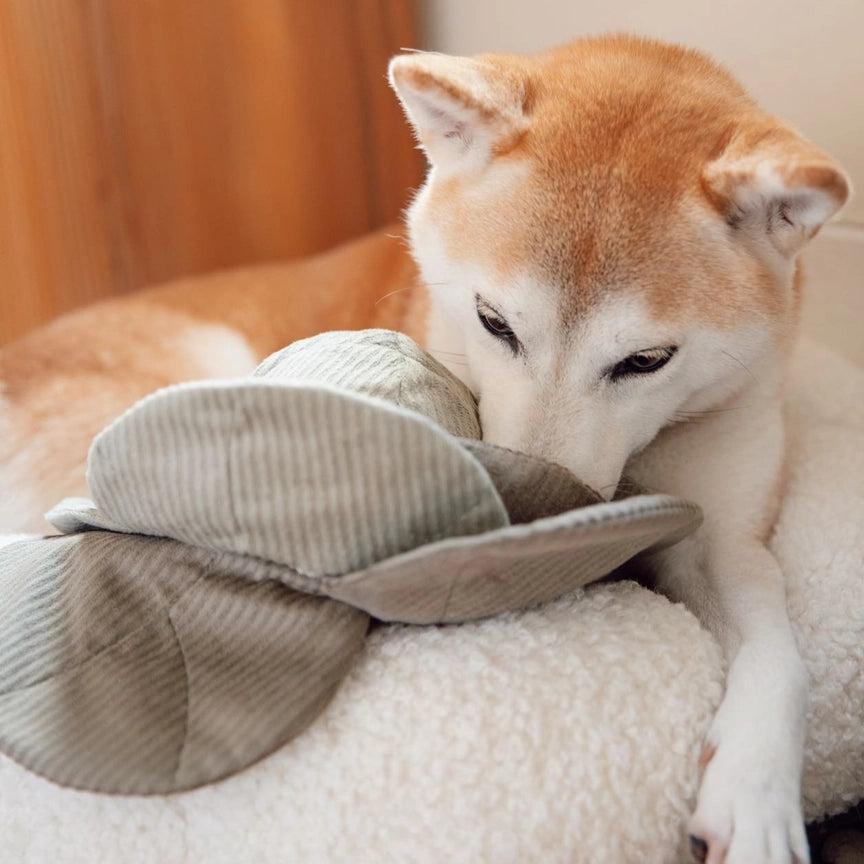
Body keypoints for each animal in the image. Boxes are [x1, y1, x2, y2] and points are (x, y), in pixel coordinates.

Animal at [0, 33, 852, 864]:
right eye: (493, 322)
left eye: (647, 360)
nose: (537, 528)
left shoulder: (724, 529)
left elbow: (780, 649)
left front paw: (755, 795)